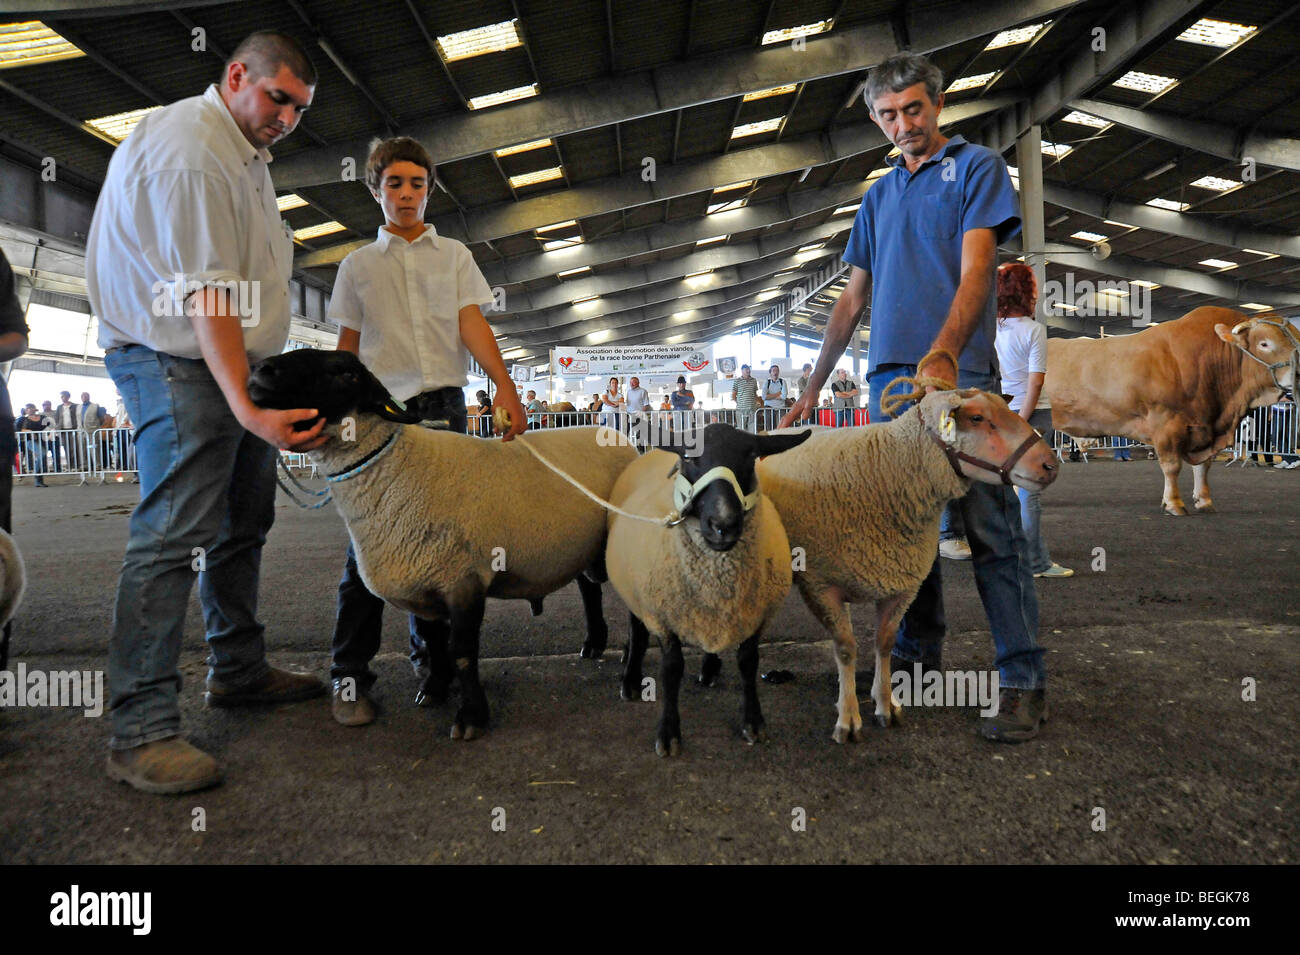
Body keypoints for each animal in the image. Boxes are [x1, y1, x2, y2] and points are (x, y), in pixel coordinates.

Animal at [245, 350, 637, 738]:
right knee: (590, 590)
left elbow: (461, 651)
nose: (259, 370)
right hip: (582, 546)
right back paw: (594, 643)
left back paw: (630, 679)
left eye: (345, 373)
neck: (397, 469)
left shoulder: (463, 580)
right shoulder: (424, 581)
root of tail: (616, 437)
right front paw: (434, 688)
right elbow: (434, 643)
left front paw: (471, 716)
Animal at [603, 420, 806, 758]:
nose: (723, 525)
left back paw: (710, 668)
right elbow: (671, 670)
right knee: (637, 628)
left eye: (751, 456)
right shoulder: (664, 615)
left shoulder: (756, 614)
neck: (717, 578)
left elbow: (748, 662)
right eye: (689, 457)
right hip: (634, 587)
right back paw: (630, 679)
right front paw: (669, 733)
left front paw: (753, 722)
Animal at [738, 387, 1060, 738]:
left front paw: (885, 704)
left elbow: (884, 643)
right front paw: (848, 717)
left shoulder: (901, 585)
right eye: (977, 418)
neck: (886, 467)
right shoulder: (821, 585)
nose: (1050, 464)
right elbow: (846, 648)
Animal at [1045, 307, 1300, 514]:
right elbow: (1172, 466)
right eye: (1264, 343)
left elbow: (1203, 467)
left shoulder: (1204, 427)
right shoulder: (1166, 423)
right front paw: (1174, 504)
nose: (1298, 374)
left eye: (1297, 341)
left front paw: (1204, 500)